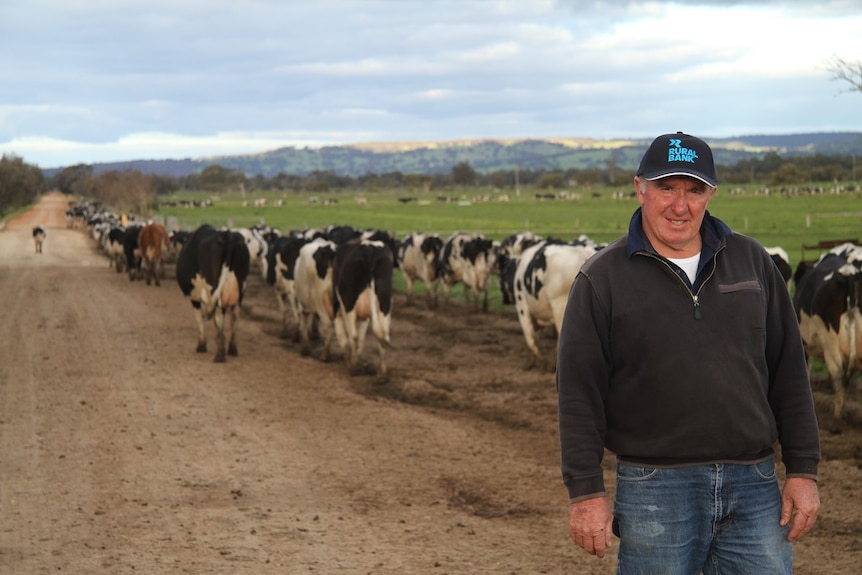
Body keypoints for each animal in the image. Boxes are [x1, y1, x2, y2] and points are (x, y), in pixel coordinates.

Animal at [175, 226, 250, 364]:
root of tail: (228, 236)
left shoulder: (194, 297)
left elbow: (198, 318)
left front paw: (201, 345)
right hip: (241, 288)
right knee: (235, 316)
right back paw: (232, 348)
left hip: (214, 288)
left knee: (219, 315)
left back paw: (220, 354)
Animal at [334, 237, 394, 378]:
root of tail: (369, 249)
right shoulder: (365, 316)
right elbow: (362, 338)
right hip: (385, 301)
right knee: (383, 334)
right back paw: (382, 373)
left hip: (349, 301)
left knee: (353, 335)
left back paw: (354, 367)